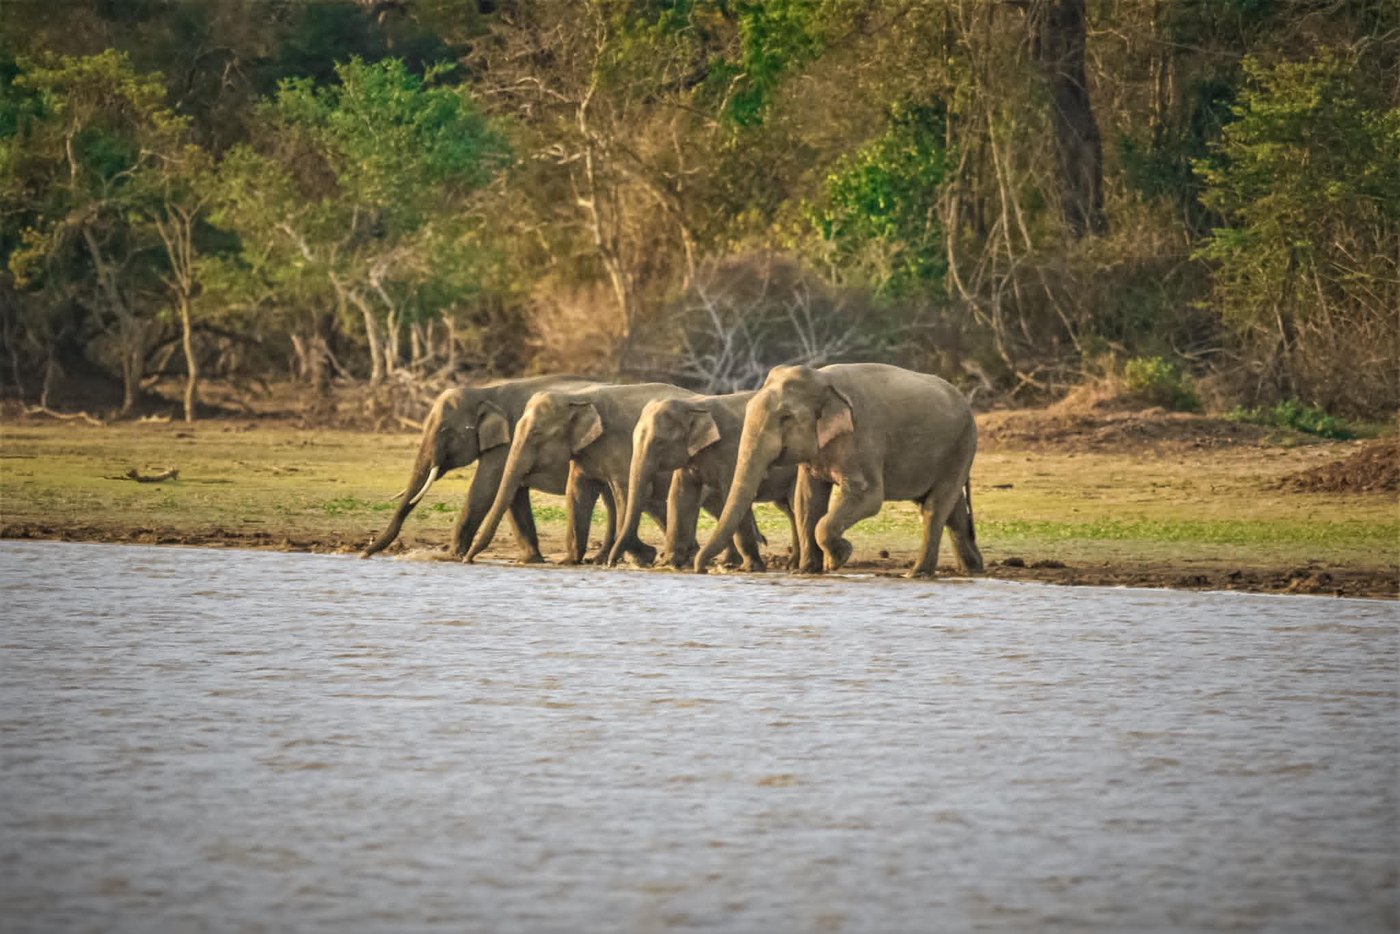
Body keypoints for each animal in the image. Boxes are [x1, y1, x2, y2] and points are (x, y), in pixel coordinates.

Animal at [362, 374, 605, 561]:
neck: (484, 391)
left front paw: (452, 556)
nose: (364, 554)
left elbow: (484, 488)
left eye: (444, 431)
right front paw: (530, 560)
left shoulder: (507, 443)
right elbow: (513, 497)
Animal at [464, 382, 699, 567]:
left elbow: (624, 491)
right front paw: (568, 561)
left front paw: (641, 557)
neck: (576, 397)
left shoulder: (621, 446)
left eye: (536, 434)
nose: (468, 559)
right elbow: (577, 491)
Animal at [609, 392, 798, 572]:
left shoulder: (733, 453)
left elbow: (731, 496)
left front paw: (750, 568)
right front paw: (668, 565)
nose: (611, 563)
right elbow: (681, 496)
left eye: (660, 442)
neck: (693, 404)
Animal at [693, 363, 984, 579]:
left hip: (962, 444)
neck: (823, 379)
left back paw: (917, 574)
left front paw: (839, 557)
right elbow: (807, 500)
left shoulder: (864, 437)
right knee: (953, 511)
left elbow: (868, 496)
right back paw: (972, 570)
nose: (702, 569)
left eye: (785, 418)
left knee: (935, 507)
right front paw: (806, 571)